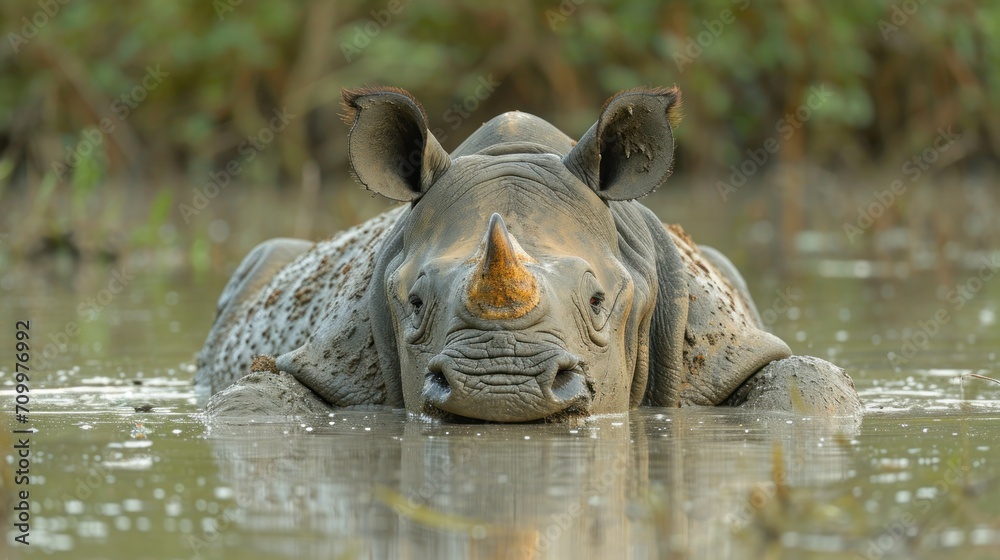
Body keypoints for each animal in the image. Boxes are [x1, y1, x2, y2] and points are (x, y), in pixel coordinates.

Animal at [195, 85, 860, 422]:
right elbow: (253, 405)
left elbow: (808, 390)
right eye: (414, 303)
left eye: (599, 301)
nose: (502, 384)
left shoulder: (721, 343)